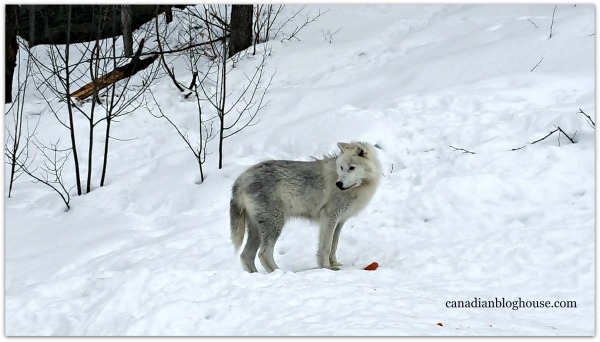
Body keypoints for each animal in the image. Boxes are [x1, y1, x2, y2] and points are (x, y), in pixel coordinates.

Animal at [230, 142, 380, 272]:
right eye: (341, 167)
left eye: (352, 168)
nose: (339, 184)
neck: (359, 188)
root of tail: (240, 179)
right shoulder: (329, 217)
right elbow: (326, 246)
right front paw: (326, 268)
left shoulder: (340, 221)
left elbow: (334, 245)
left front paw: (334, 264)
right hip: (275, 224)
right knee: (263, 254)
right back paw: (280, 272)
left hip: (257, 230)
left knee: (245, 256)